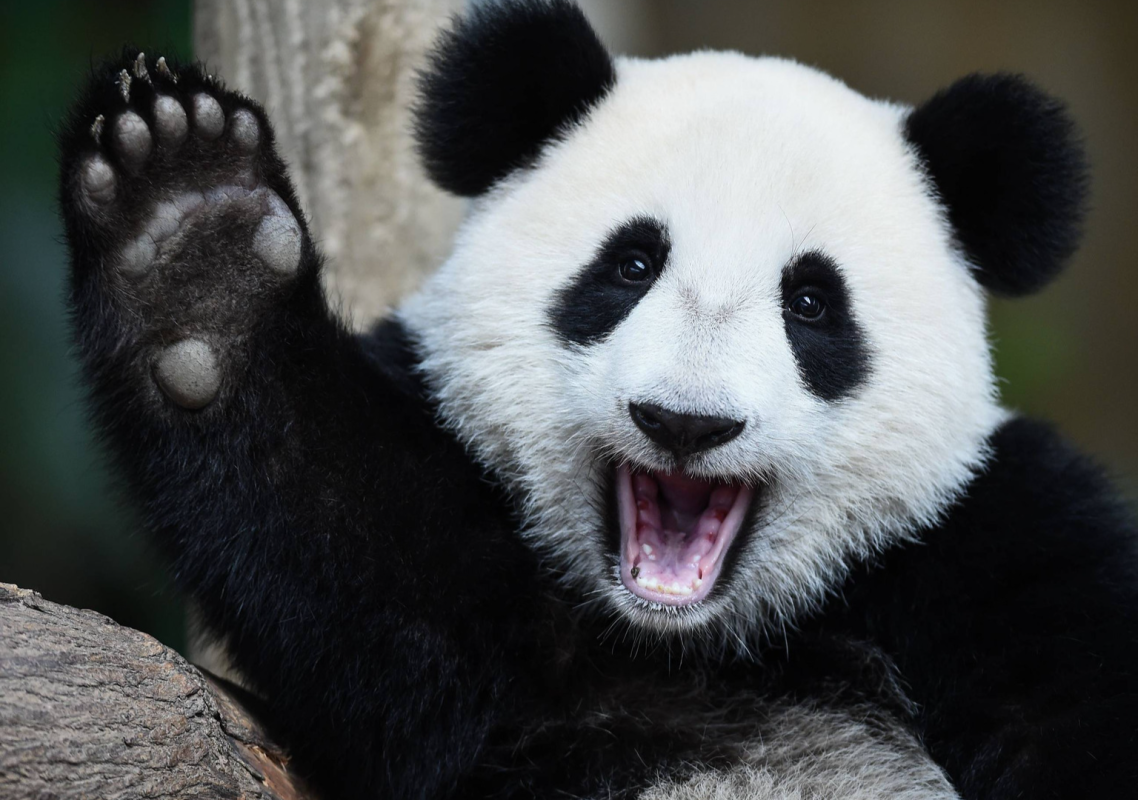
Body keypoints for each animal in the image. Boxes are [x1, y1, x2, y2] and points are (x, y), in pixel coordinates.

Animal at [60, 1, 1138, 800]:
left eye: (810, 302)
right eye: (630, 265)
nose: (686, 422)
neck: (696, 644)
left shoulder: (1002, 545)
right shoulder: (491, 638)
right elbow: (352, 554)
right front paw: (194, 235)